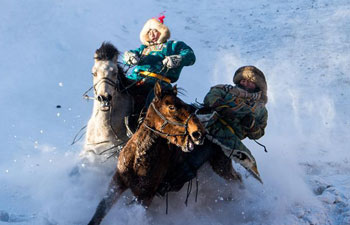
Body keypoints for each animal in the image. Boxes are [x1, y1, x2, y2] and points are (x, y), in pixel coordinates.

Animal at [87, 82, 205, 225]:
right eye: (171, 107)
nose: (199, 133)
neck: (138, 158)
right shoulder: (117, 182)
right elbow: (101, 209)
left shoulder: (144, 197)